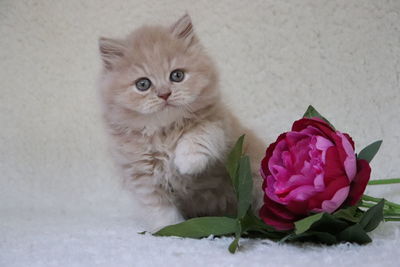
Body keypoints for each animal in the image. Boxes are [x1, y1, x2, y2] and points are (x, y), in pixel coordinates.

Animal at [97, 14, 266, 231]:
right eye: (143, 84)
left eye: (177, 75)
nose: (164, 94)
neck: (164, 133)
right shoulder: (143, 176)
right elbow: (161, 211)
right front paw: (169, 231)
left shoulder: (222, 126)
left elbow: (202, 132)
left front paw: (187, 161)